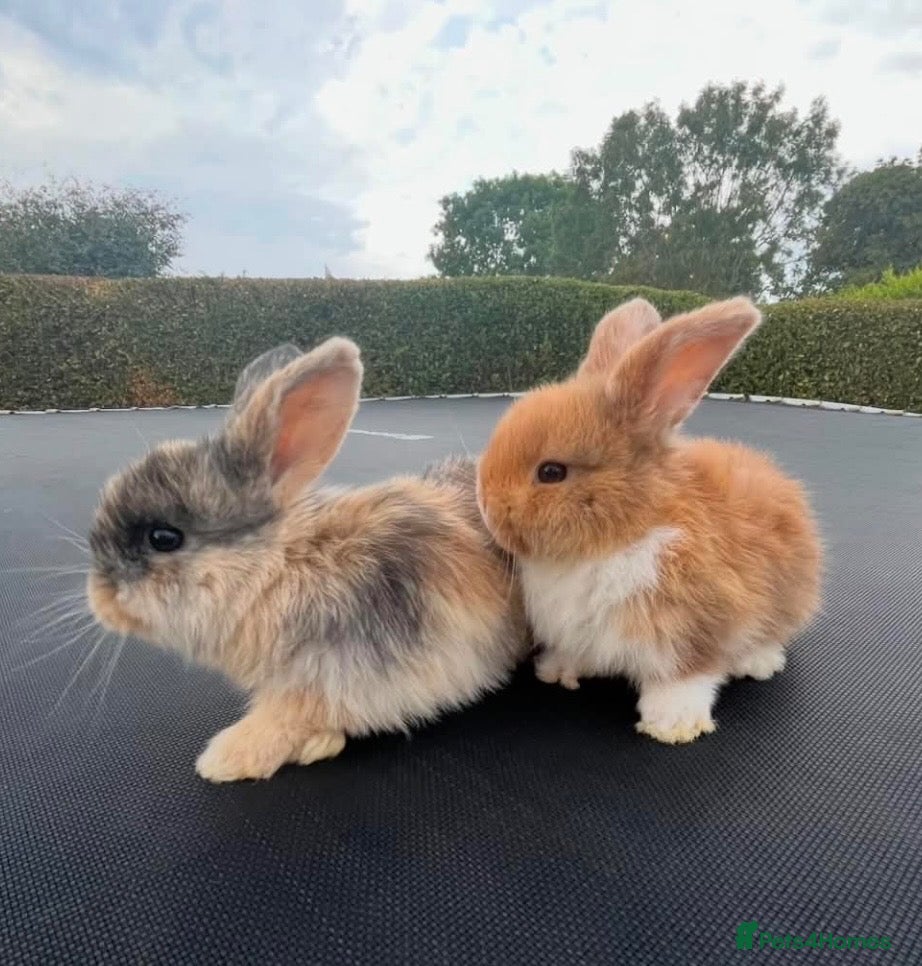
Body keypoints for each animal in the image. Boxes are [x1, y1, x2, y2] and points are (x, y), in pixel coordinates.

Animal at [87, 338, 527, 782]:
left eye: (164, 538)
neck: (282, 572)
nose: (99, 601)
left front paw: (227, 758)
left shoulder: (332, 679)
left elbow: (286, 719)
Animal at [476, 296, 822, 745]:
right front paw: (557, 672)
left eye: (551, 472)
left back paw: (758, 662)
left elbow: (685, 679)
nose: (485, 506)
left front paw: (672, 726)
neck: (615, 538)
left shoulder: (693, 629)